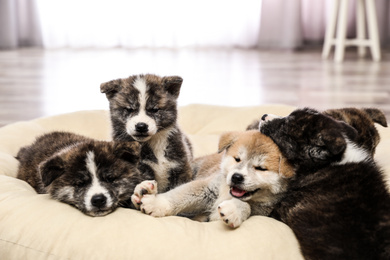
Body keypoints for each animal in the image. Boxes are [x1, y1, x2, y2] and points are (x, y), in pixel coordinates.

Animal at [133, 130, 294, 228]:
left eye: (261, 168)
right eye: (237, 159)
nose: (236, 177)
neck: (226, 193)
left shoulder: (260, 211)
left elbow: (245, 207)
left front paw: (234, 209)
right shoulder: (206, 187)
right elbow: (177, 196)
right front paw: (157, 203)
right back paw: (143, 190)